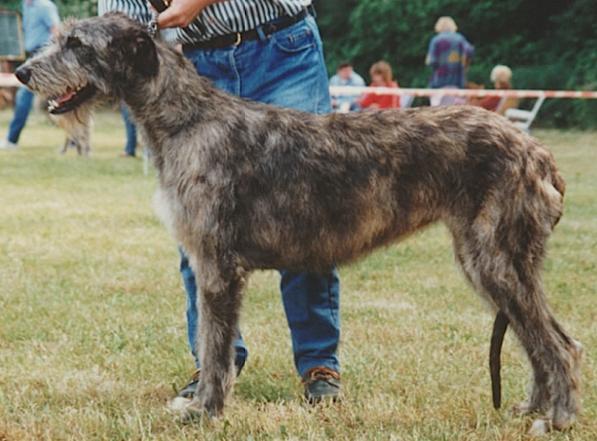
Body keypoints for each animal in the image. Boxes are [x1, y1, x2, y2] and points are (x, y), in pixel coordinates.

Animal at [18, 12, 584, 434]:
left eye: (77, 44)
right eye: (60, 39)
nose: (22, 73)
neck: (188, 119)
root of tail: (538, 153)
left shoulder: (217, 265)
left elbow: (216, 347)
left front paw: (205, 411)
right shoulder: (205, 262)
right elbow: (212, 344)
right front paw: (200, 403)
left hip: (495, 256)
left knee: (558, 344)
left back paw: (557, 419)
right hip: (491, 259)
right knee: (547, 338)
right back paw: (533, 408)